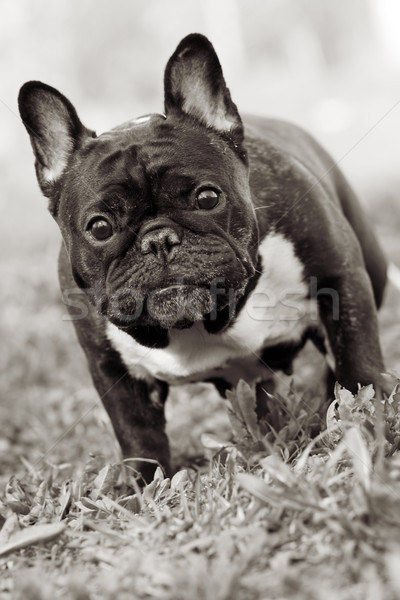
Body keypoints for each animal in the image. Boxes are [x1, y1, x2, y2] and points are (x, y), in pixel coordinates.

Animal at [18, 34, 388, 482]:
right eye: (100, 227)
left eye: (207, 197)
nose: (159, 240)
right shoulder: (112, 369)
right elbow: (137, 433)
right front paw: (139, 488)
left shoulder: (340, 280)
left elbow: (358, 362)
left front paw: (368, 424)